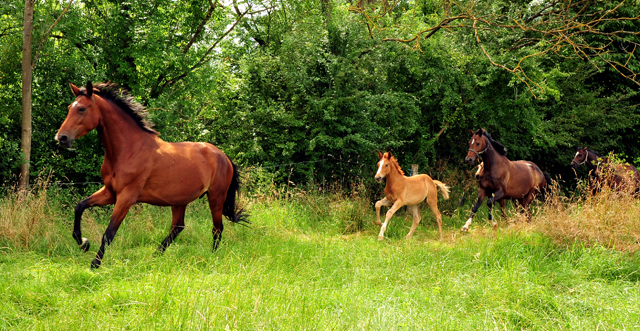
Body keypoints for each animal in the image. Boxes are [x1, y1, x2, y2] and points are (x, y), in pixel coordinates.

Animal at [54, 82, 248, 270]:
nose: (61, 138)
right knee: (178, 227)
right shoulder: (110, 192)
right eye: (70, 107)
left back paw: (212, 257)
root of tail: (223, 156)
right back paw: (155, 256)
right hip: (179, 200)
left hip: (216, 197)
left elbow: (109, 233)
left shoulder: (127, 197)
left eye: (82, 109)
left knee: (217, 227)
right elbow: (80, 206)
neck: (128, 149)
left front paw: (94, 264)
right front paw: (83, 243)